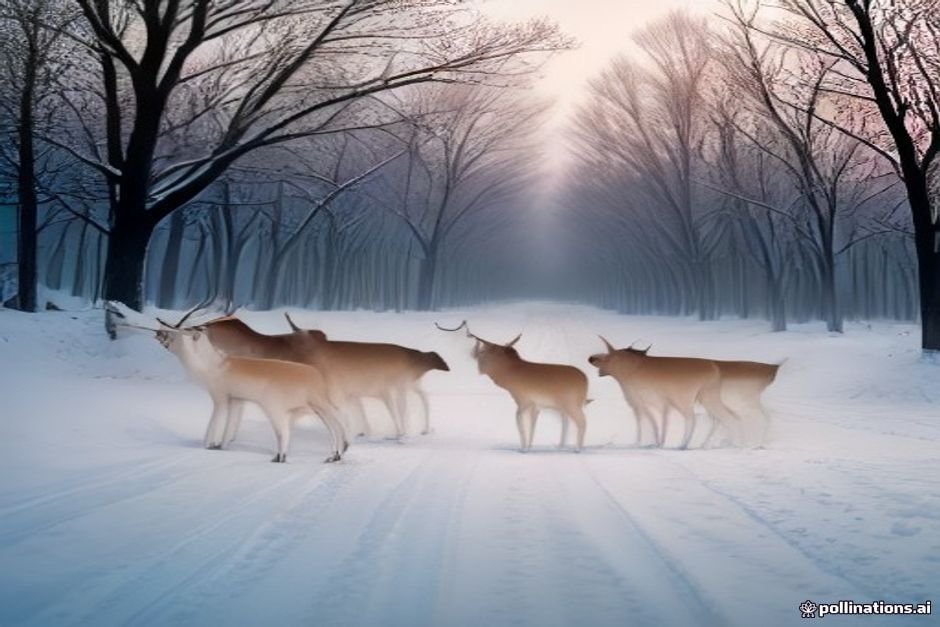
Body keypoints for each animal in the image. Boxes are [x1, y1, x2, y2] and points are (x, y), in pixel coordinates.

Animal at [438, 321, 590, 452]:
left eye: (489, 349)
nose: (474, 353)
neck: (508, 374)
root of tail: (585, 380)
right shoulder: (535, 405)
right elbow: (532, 426)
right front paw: (529, 446)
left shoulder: (523, 401)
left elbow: (521, 424)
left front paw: (524, 448)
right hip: (564, 406)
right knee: (569, 422)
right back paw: (562, 446)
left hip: (571, 404)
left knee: (582, 421)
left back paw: (577, 449)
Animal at [588, 337, 743, 449]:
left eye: (608, 355)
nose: (591, 358)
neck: (625, 375)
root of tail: (715, 370)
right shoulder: (647, 403)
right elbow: (651, 423)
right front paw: (652, 443)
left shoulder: (648, 401)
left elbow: (652, 423)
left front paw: (653, 443)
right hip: (707, 396)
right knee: (722, 418)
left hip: (687, 398)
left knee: (697, 418)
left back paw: (683, 445)